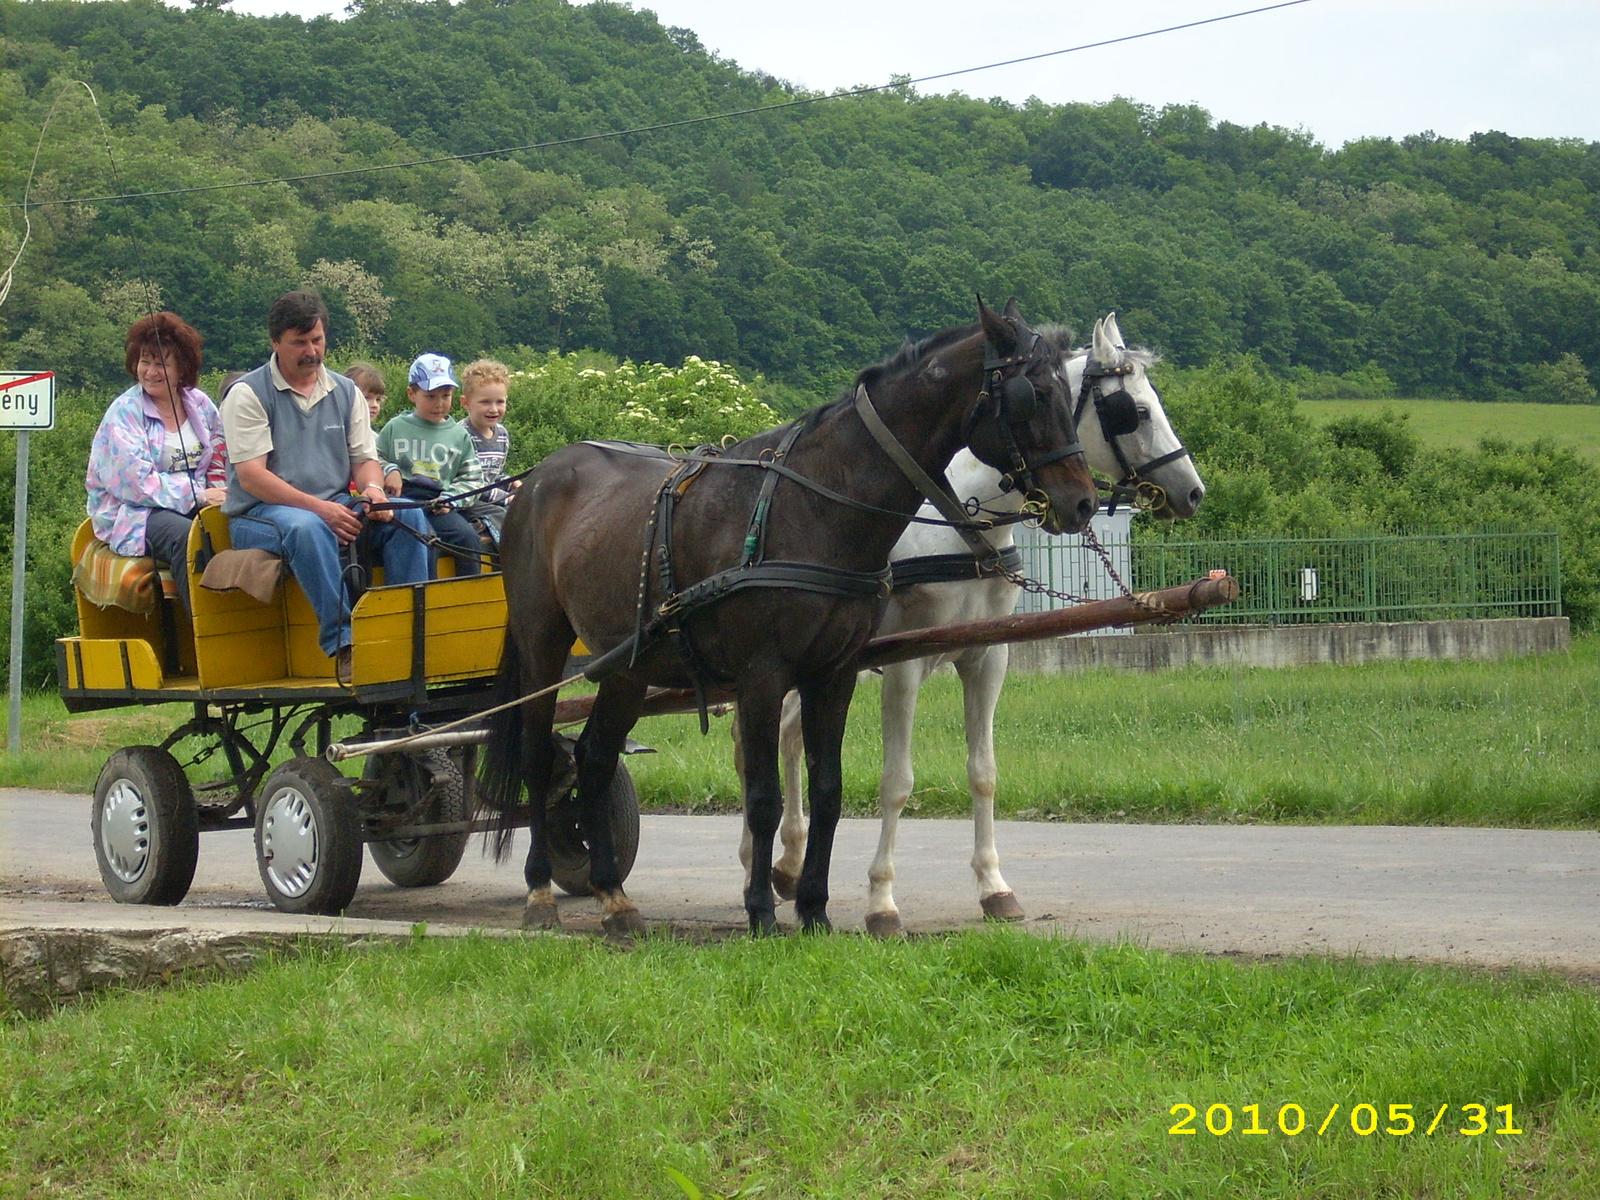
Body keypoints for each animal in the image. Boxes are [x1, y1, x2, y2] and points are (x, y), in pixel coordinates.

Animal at [476, 300, 1100, 940]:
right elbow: (764, 796)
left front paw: (814, 908)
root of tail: (540, 476)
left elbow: (829, 790)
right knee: (537, 757)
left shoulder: (837, 671)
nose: (1082, 502)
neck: (821, 503)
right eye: (1031, 396)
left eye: (1068, 392)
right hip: (542, 645)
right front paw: (761, 911)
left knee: (595, 761)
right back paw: (540, 891)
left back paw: (613, 896)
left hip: (627, 665)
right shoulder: (764, 673)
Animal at [736, 316, 1203, 940]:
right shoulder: (903, 664)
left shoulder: (986, 657)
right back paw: (757, 867)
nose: (1193, 490)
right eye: (1135, 411)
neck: (963, 519)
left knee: (785, 736)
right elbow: (897, 781)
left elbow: (984, 772)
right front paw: (882, 902)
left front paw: (994, 888)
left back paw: (784, 866)